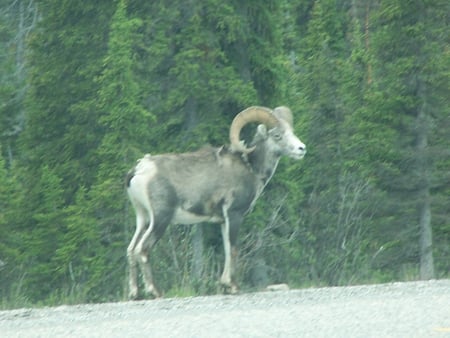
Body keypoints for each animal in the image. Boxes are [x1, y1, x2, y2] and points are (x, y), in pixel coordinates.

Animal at [128, 106, 308, 298]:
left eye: (291, 131)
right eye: (277, 135)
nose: (301, 149)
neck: (250, 167)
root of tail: (139, 170)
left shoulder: (223, 221)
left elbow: (227, 249)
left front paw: (225, 285)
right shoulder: (234, 215)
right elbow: (234, 249)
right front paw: (234, 287)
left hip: (143, 218)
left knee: (131, 249)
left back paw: (134, 294)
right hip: (160, 219)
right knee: (143, 249)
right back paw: (155, 291)